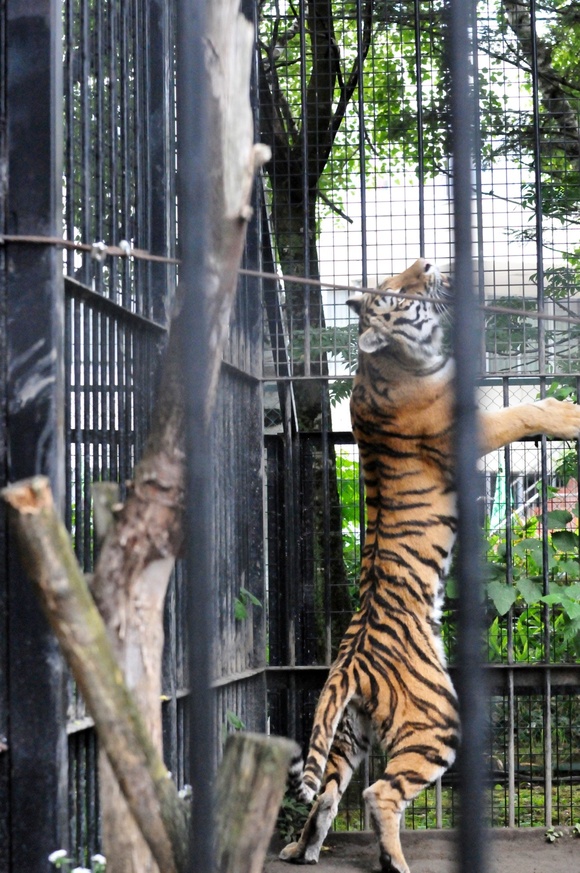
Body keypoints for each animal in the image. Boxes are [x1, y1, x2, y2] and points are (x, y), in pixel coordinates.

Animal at [280, 258, 580, 872]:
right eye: (397, 295)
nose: (423, 263)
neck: (392, 362)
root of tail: (348, 664)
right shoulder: (471, 428)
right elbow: (524, 410)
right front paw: (567, 412)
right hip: (436, 721)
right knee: (379, 792)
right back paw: (394, 862)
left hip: (349, 733)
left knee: (326, 794)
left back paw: (303, 850)